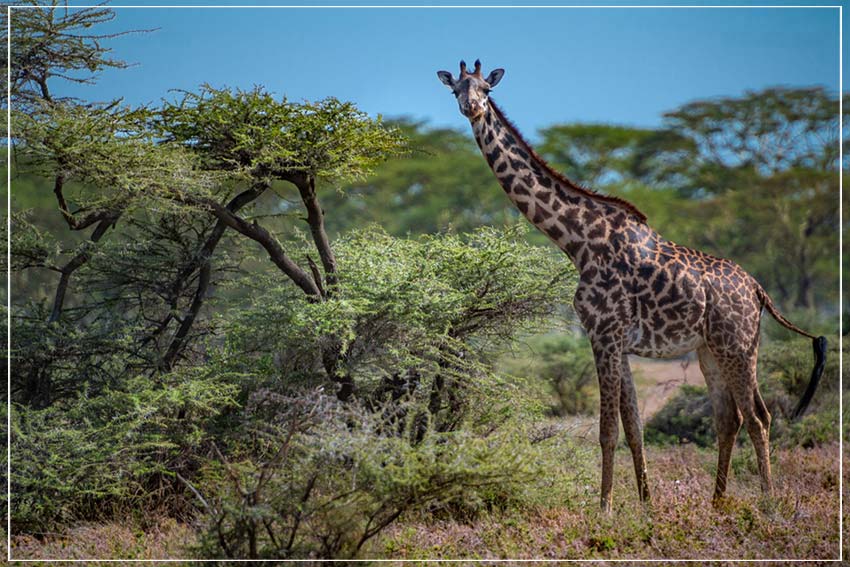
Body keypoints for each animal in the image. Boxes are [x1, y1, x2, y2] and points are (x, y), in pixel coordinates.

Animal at [437, 60, 828, 513]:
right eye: (456, 90)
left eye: (486, 88)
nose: (472, 108)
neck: (577, 242)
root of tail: (759, 291)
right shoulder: (619, 342)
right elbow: (634, 426)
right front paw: (645, 503)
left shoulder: (603, 334)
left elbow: (607, 430)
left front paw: (604, 507)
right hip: (709, 350)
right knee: (729, 418)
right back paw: (717, 502)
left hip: (738, 346)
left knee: (760, 417)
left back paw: (767, 502)